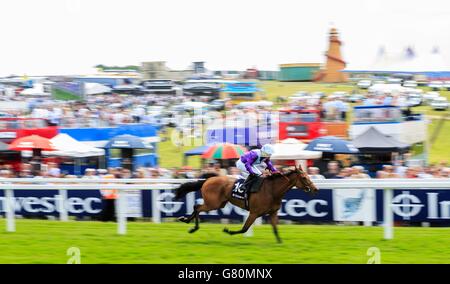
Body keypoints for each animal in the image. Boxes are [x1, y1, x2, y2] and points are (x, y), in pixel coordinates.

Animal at [174, 168, 318, 243]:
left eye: (308, 176)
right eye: (304, 178)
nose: (315, 189)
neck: (272, 190)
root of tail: (208, 179)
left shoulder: (272, 213)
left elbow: (275, 229)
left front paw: (280, 243)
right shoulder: (254, 213)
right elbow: (244, 228)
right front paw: (228, 231)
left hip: (219, 204)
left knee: (197, 208)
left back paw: (187, 221)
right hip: (213, 203)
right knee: (197, 207)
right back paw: (191, 226)